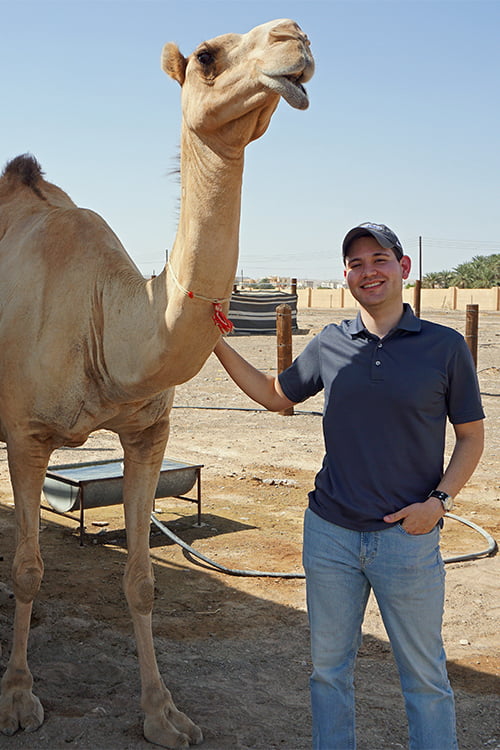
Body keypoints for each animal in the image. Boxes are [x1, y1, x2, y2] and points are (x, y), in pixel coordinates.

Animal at [0, 17, 312, 750]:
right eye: (205, 55)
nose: (294, 38)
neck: (103, 320)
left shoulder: (148, 431)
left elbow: (142, 580)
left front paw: (163, 713)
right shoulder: (26, 433)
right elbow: (28, 569)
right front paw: (19, 696)